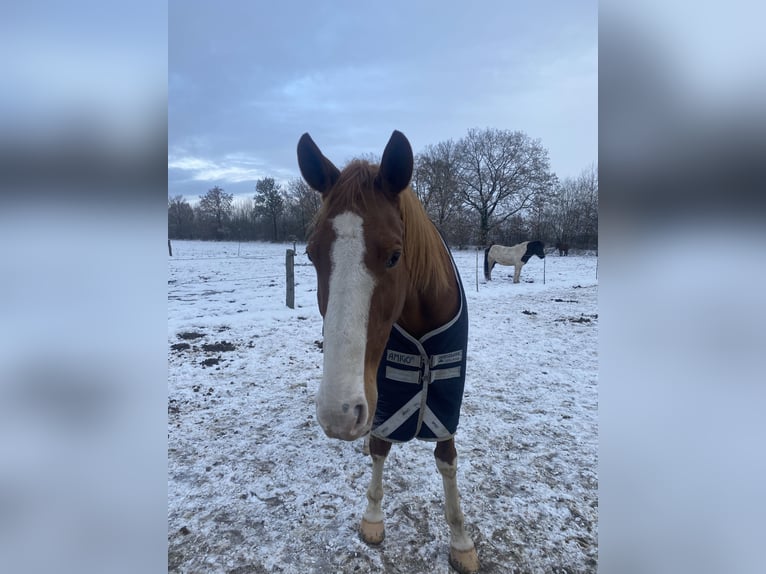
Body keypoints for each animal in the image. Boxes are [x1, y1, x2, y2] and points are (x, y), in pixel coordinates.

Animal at [298, 130, 480, 574]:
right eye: (310, 254)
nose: (338, 414)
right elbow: (381, 445)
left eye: (395, 255)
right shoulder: (385, 387)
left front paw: (461, 541)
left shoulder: (447, 389)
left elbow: (447, 456)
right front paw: (373, 519)